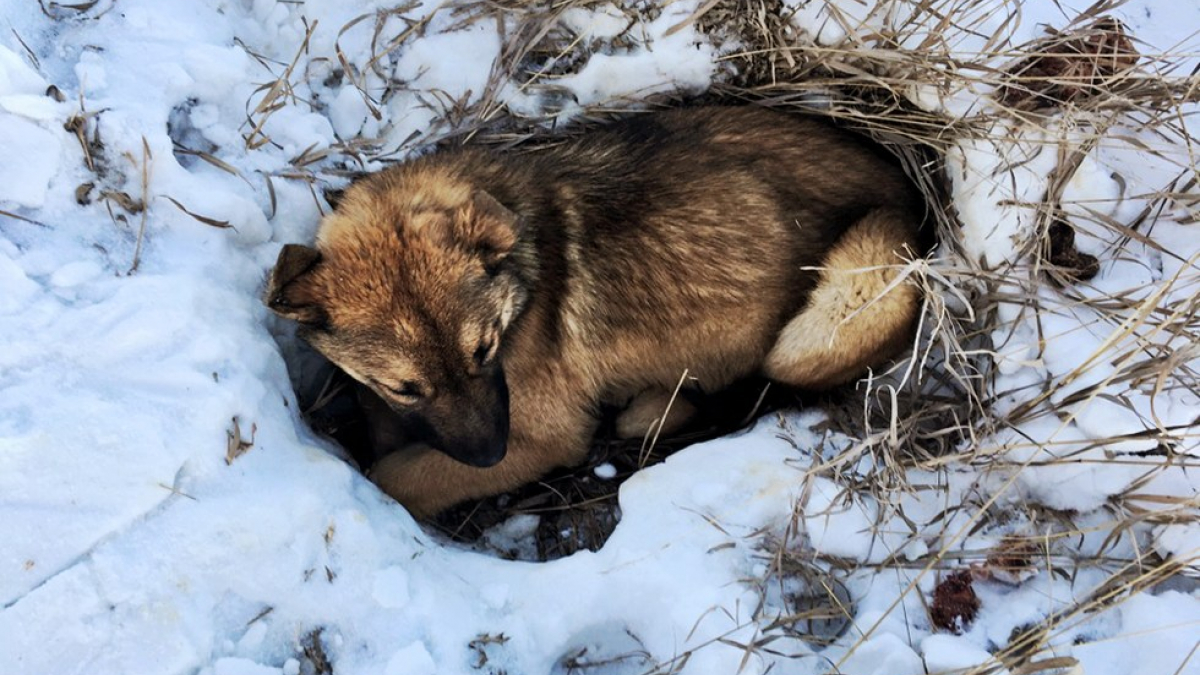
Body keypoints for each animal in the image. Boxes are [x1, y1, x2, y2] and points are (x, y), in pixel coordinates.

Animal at [265, 106, 916, 514]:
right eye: (404, 387)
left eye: (485, 349)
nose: (491, 454)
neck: (525, 278)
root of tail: (908, 192)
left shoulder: (547, 438)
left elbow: (398, 476)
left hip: (843, 309)